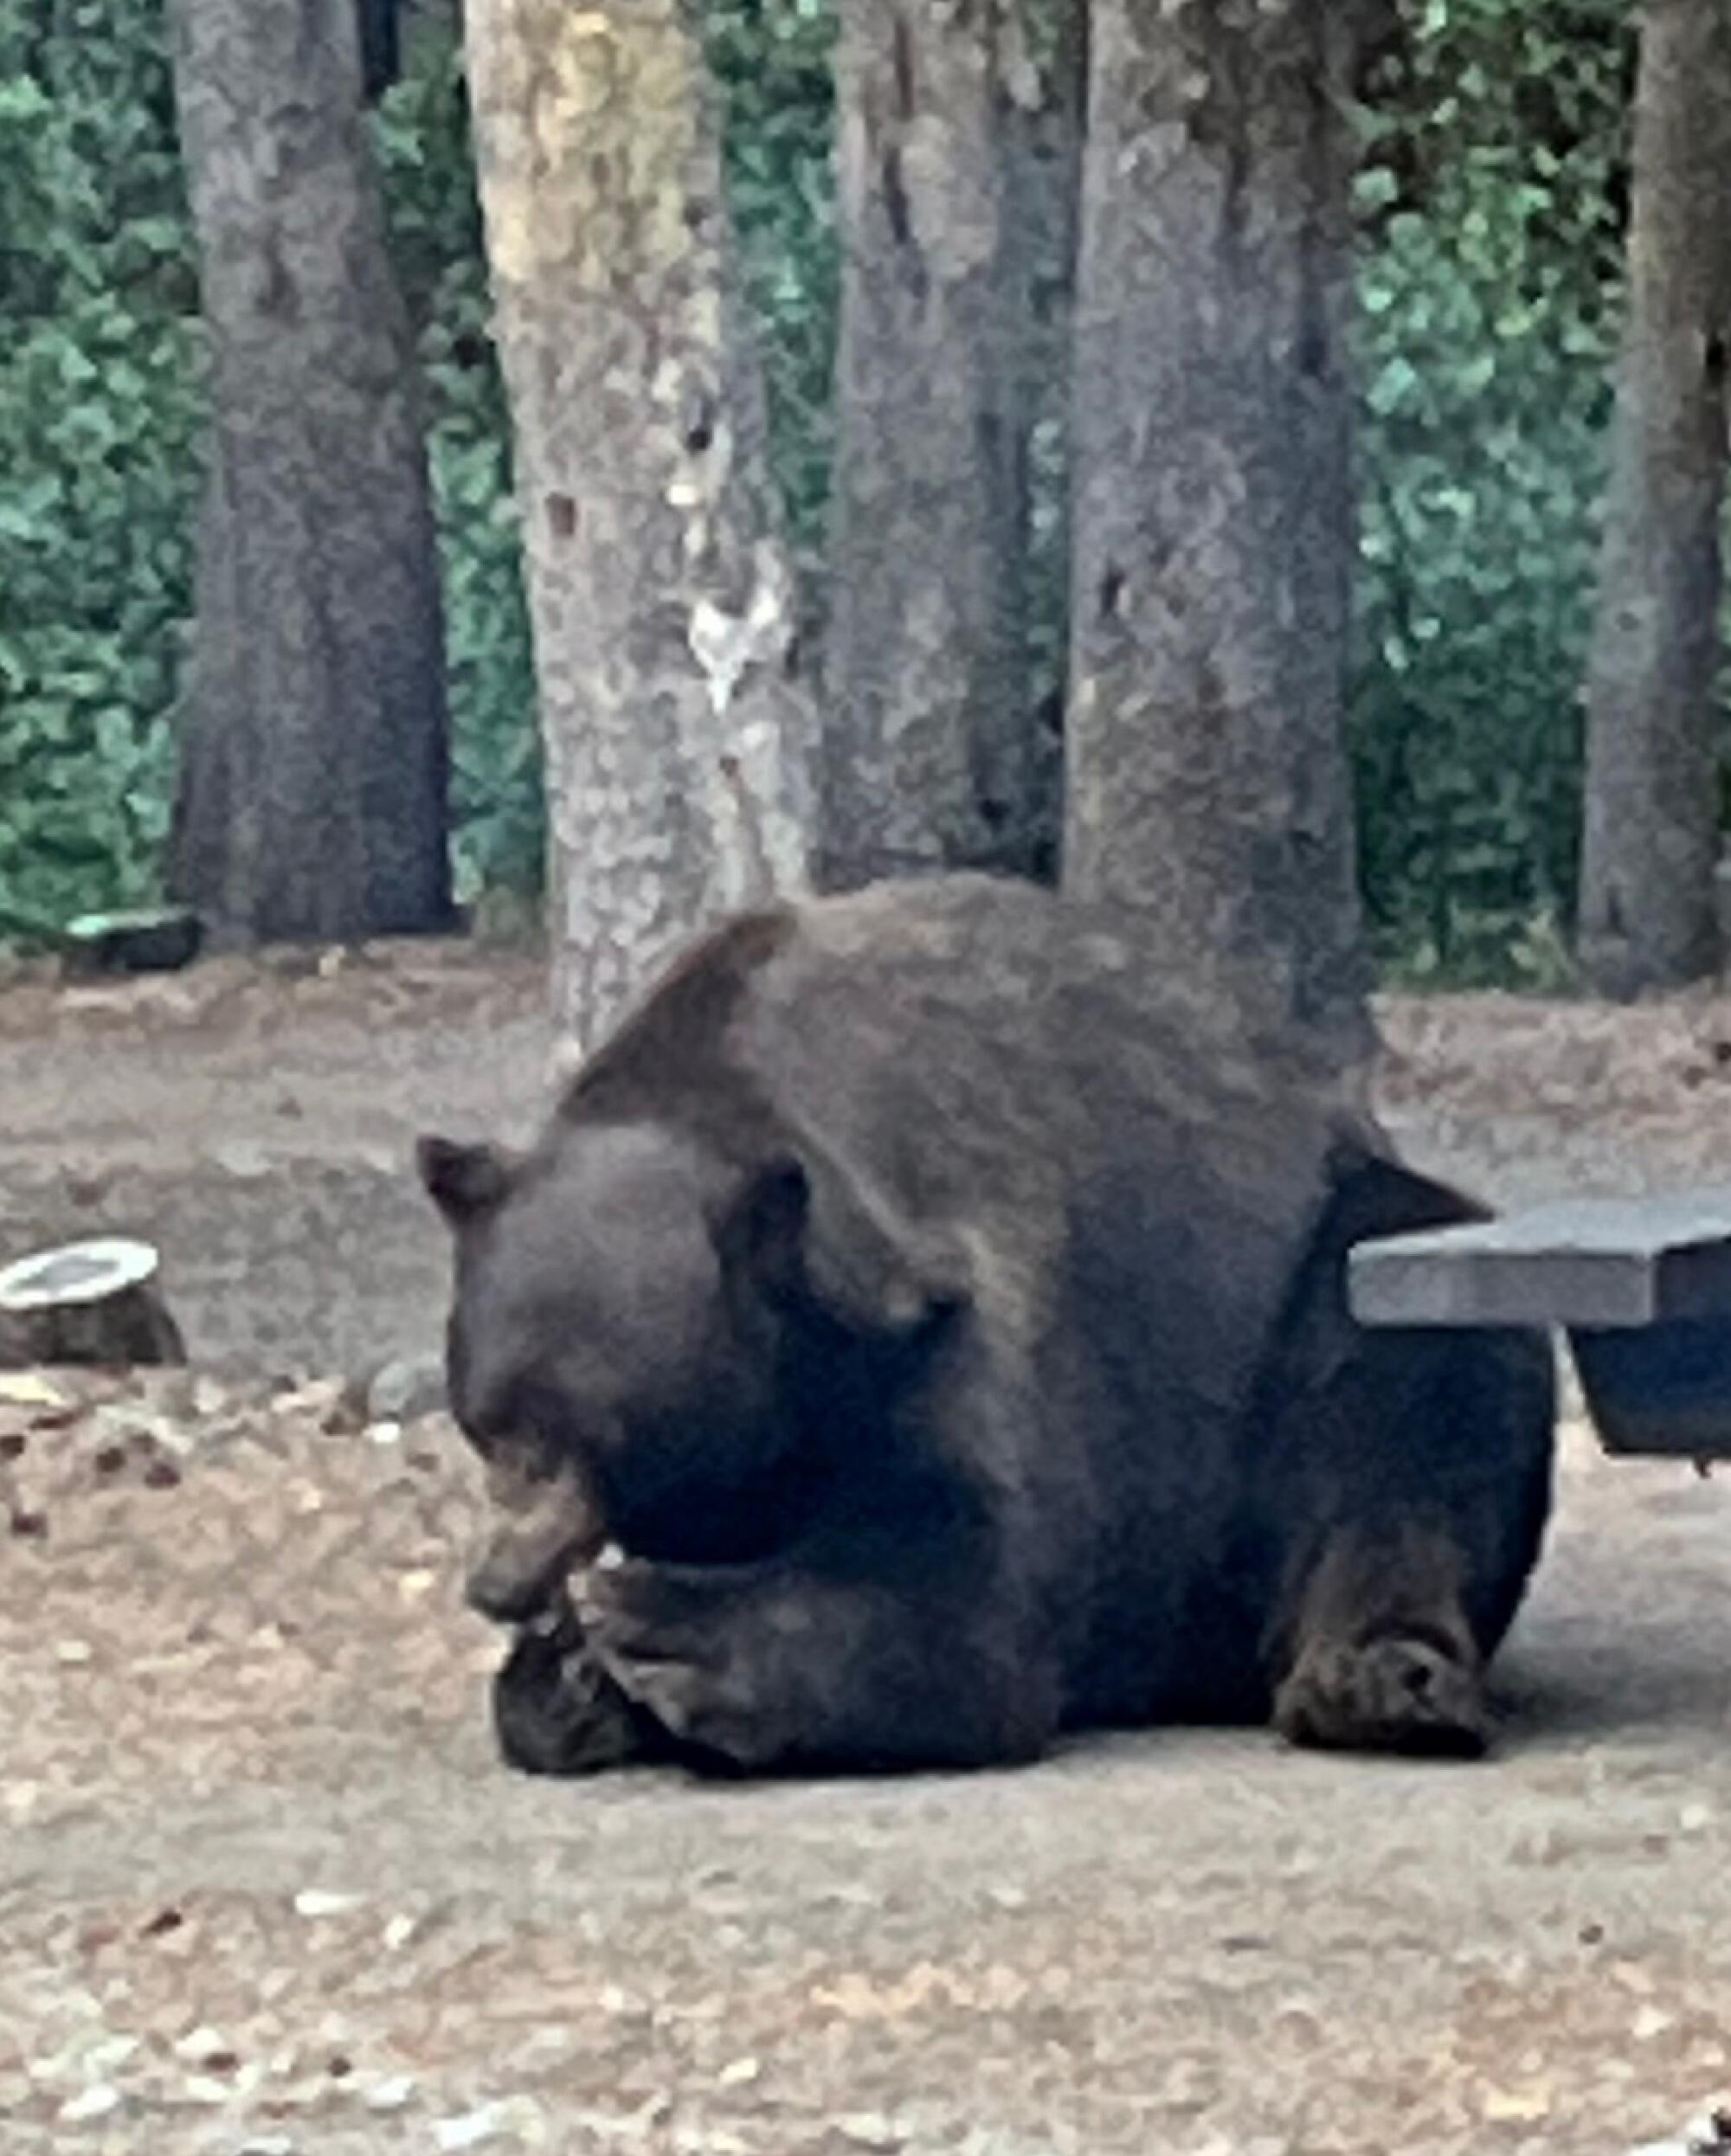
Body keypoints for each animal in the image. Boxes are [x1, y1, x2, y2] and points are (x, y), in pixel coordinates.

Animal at [420, 866, 1560, 1776]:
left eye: (580, 1433)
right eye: (488, 1424)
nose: (497, 1581)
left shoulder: (964, 1313)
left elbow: (968, 1592)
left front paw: (659, 1627)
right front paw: (564, 1674)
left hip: (1310, 1288)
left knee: (1405, 1376)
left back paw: (1378, 1681)